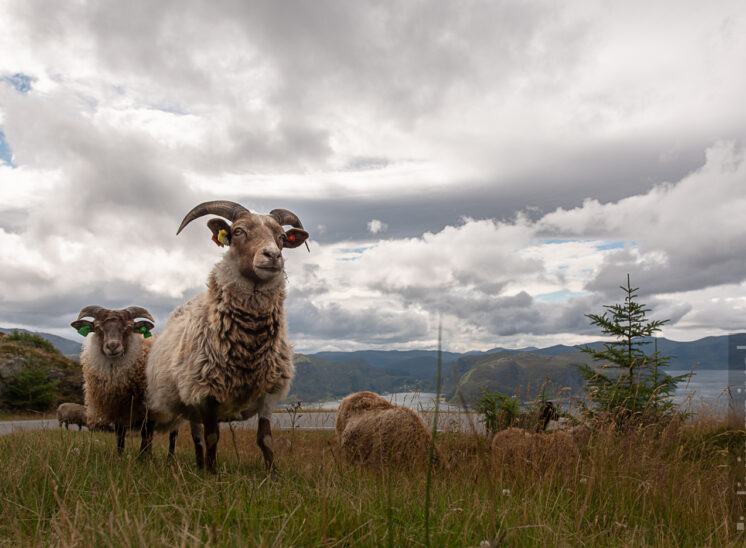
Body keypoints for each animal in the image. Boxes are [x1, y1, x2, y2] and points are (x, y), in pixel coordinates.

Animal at [145, 199, 308, 474]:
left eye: (283, 237)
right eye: (239, 231)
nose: (273, 256)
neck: (248, 348)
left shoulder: (267, 392)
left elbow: (265, 439)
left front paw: (272, 476)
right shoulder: (207, 393)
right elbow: (213, 438)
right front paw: (212, 476)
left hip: (191, 405)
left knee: (195, 436)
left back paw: (199, 465)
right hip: (159, 399)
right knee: (150, 430)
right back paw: (142, 460)